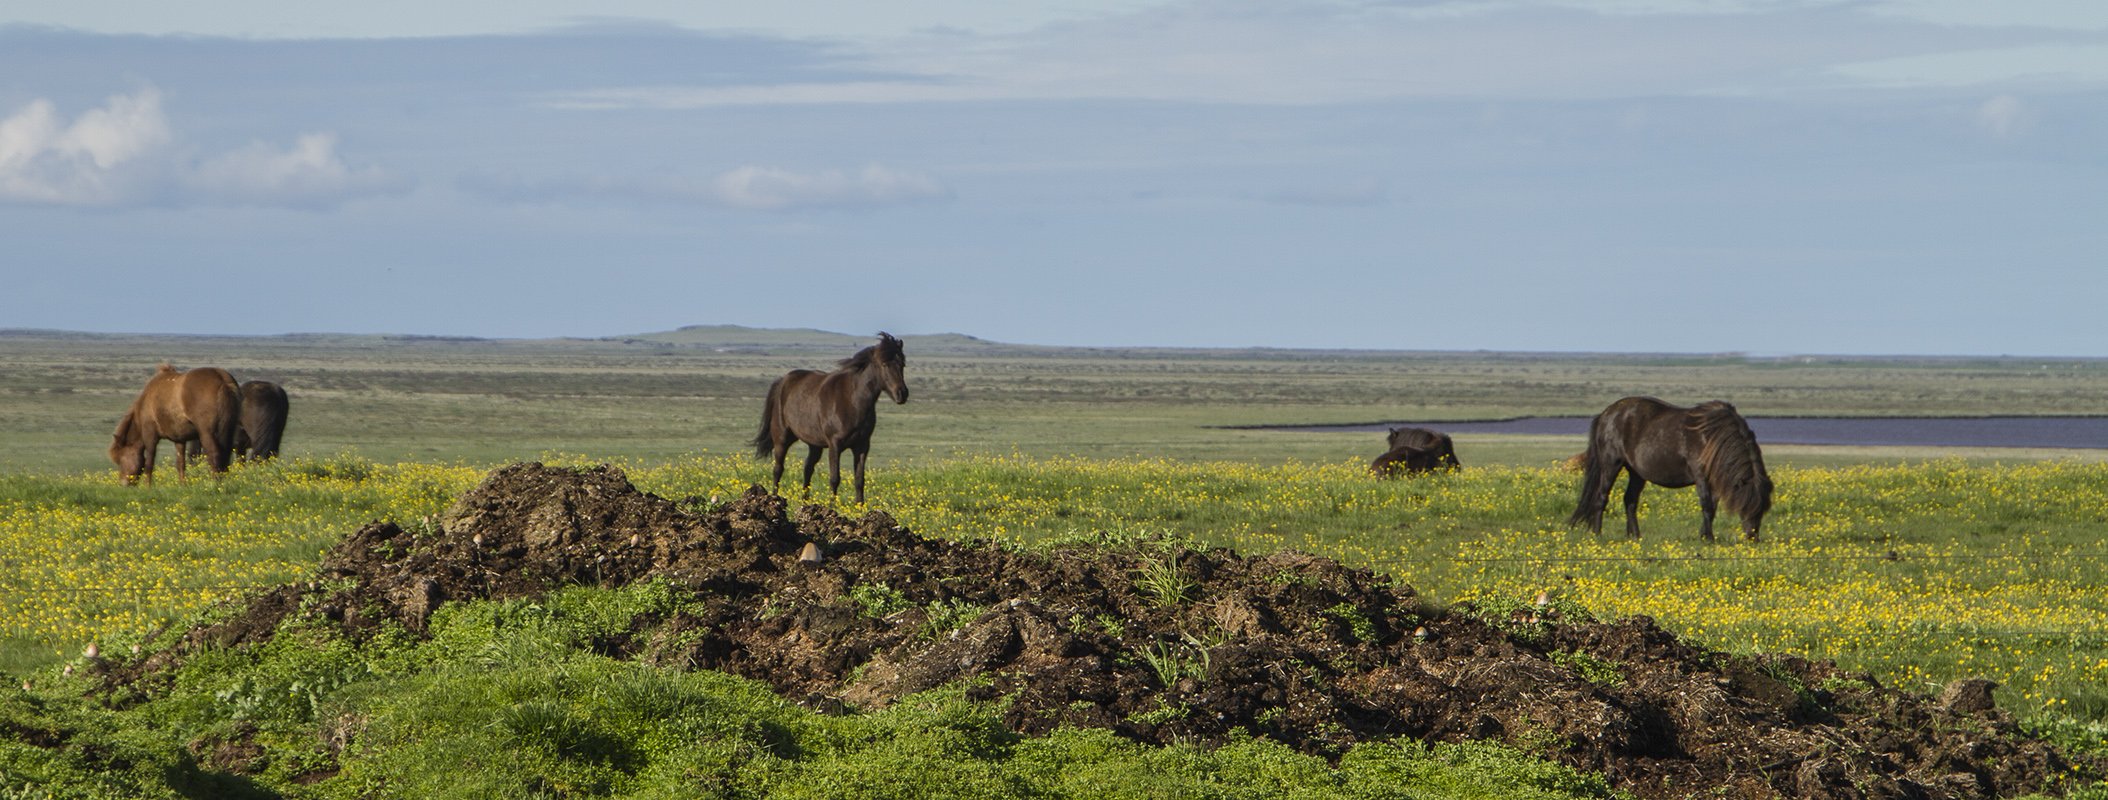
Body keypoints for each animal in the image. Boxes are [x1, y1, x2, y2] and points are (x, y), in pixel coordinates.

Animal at [110, 364, 242, 488]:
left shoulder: (150, 435)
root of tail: (222, 380)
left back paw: (215, 484)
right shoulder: (179, 439)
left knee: (214, 454)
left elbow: (149, 463)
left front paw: (148, 487)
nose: (123, 484)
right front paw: (182, 484)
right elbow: (180, 464)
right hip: (228, 430)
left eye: (120, 459)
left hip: (206, 433)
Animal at [754, 330, 910, 501]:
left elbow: (859, 479)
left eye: (902, 364)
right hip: (782, 438)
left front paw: (860, 505)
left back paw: (805, 501)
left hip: (814, 444)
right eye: (884, 364)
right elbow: (835, 478)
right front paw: (832, 505)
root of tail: (782, 381)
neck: (852, 400)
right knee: (778, 469)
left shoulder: (862, 445)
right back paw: (775, 497)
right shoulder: (835, 444)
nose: (902, 394)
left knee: (807, 469)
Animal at [1568, 397, 1779, 543]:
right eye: (1746, 505)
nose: (1753, 538)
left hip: (1637, 473)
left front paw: (1704, 535)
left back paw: (1635, 536)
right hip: (1611, 465)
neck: (1712, 437)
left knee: (1630, 500)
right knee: (1601, 497)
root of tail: (1607, 413)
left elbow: (1713, 506)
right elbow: (1707, 505)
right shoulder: (1701, 476)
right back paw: (1597, 534)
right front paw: (1709, 539)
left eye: (1763, 508)